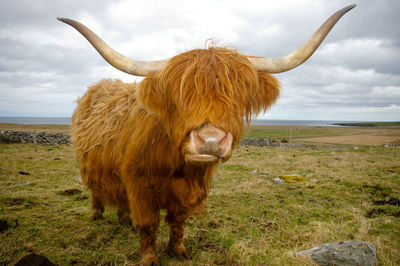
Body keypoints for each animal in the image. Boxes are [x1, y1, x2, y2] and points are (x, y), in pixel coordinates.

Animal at [57, 4, 354, 266]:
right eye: (178, 96)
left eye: (239, 96)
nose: (210, 141)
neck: (177, 167)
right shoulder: (139, 183)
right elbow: (149, 224)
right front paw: (149, 258)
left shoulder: (187, 190)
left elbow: (177, 222)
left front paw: (178, 251)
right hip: (92, 166)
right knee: (97, 189)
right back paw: (98, 215)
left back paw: (123, 219)